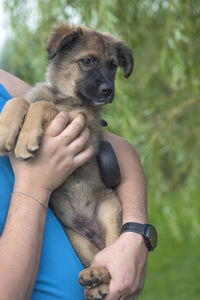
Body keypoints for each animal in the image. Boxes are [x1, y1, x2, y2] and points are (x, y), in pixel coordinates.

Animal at [0, 23, 134, 300]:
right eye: (87, 61)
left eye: (113, 66)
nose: (108, 91)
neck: (62, 96)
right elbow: (21, 100)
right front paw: (5, 130)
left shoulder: (79, 122)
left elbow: (40, 106)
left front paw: (25, 139)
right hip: (75, 237)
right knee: (95, 256)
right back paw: (93, 279)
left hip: (109, 211)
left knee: (112, 255)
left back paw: (101, 278)